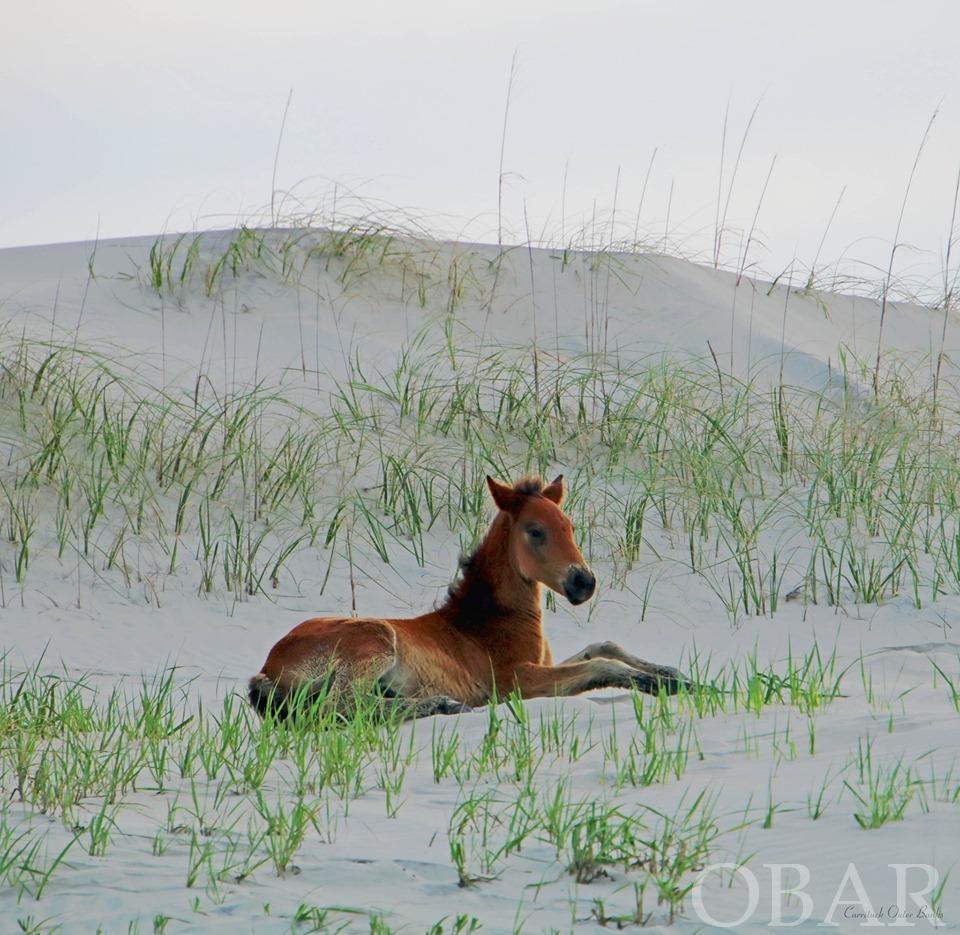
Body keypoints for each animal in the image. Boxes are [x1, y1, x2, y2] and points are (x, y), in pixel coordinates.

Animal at [248, 478, 684, 720]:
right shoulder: (515, 682)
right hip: (374, 641)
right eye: (535, 530)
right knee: (338, 706)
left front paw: (672, 673)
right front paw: (660, 683)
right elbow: (600, 665)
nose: (584, 583)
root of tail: (269, 668)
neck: (488, 620)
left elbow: (602, 646)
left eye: (570, 527)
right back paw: (444, 705)